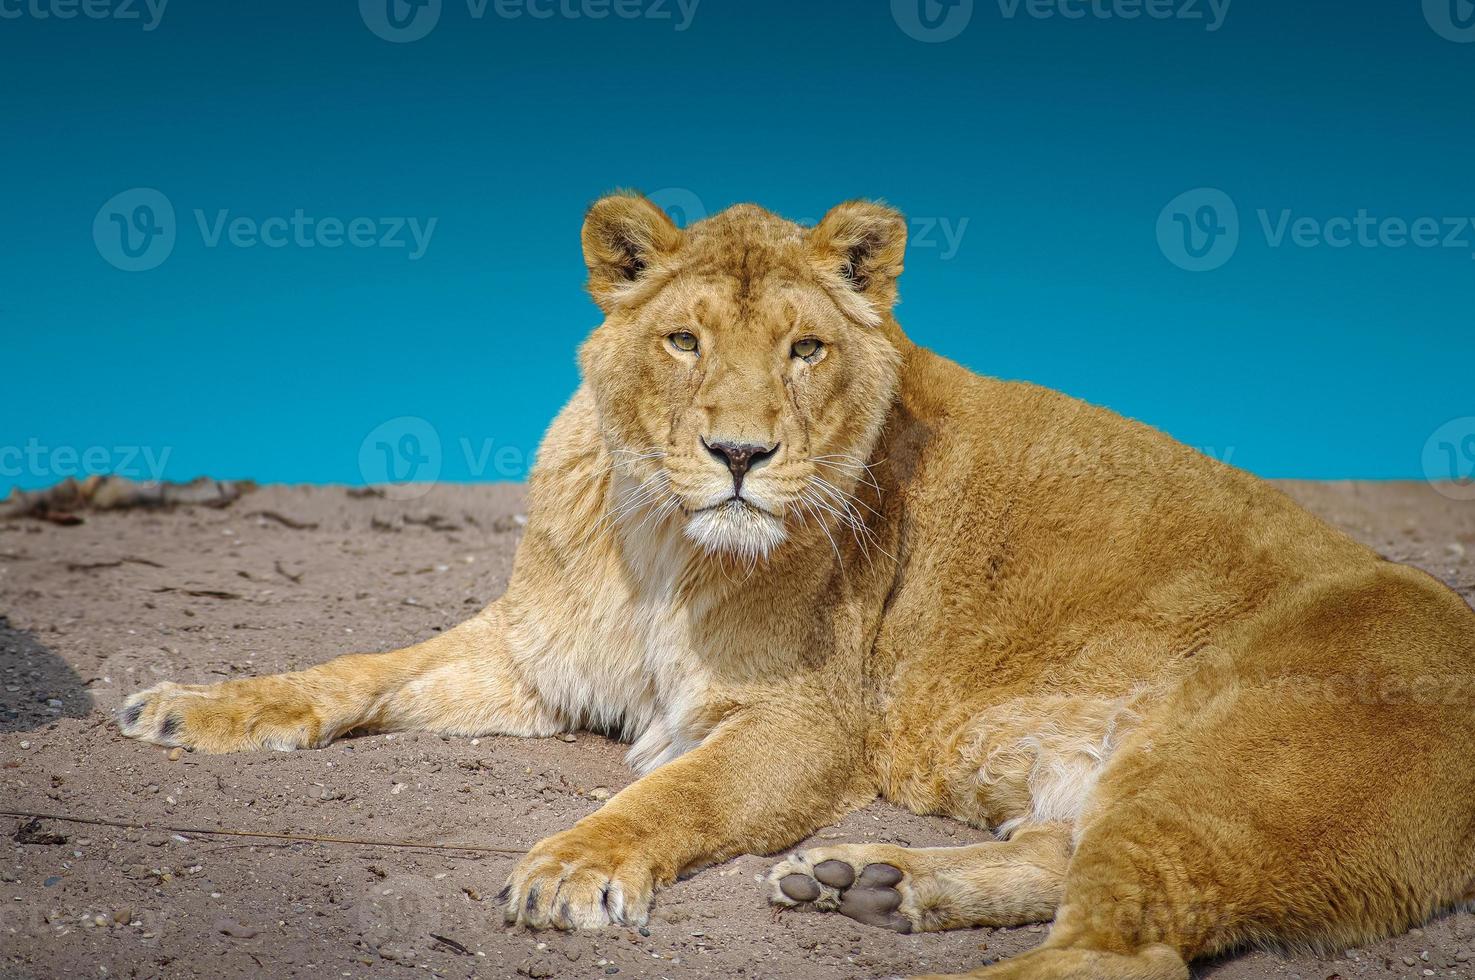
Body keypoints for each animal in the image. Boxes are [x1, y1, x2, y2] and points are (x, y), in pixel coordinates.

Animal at [118, 193, 1475, 980]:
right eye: (683, 340)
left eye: (805, 349)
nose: (738, 454)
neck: (660, 540)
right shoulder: (535, 653)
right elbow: (356, 667)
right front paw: (196, 704)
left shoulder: (803, 723)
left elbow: (670, 795)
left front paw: (574, 866)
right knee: (1073, 871)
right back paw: (872, 882)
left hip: (1218, 756)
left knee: (1120, 951)